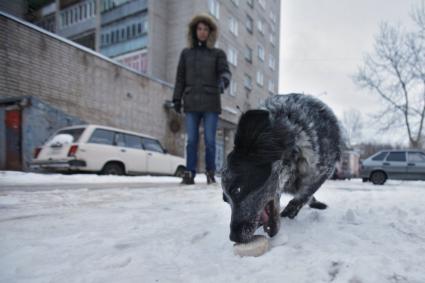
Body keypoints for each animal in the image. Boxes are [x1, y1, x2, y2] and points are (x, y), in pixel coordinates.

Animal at [220, 93, 340, 244]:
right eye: (226, 200)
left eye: (237, 190)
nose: (233, 238)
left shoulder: (324, 170)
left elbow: (304, 194)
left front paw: (290, 212)